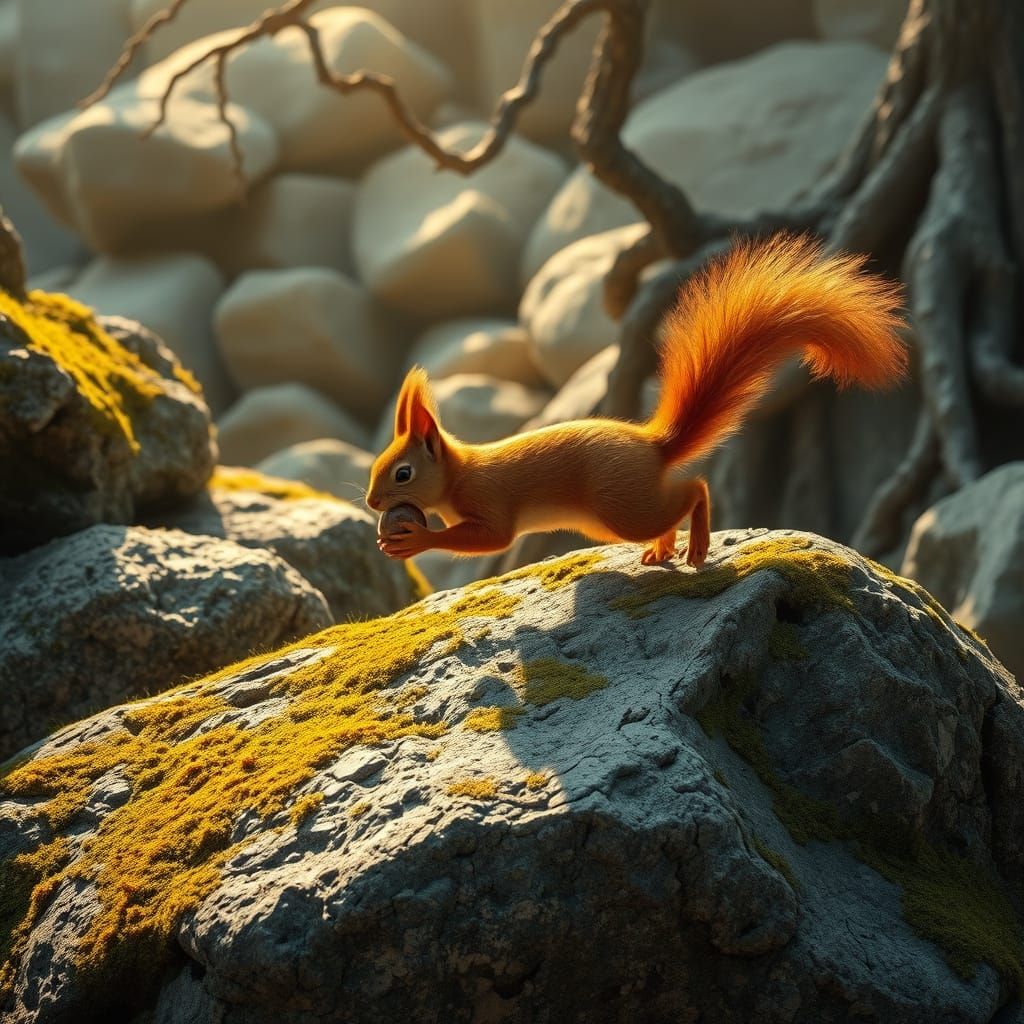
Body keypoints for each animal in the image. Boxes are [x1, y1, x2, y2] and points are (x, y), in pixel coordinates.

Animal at [367, 234, 906, 568]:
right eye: (377, 466)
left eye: (403, 473)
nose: (372, 502)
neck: (458, 475)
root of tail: (653, 446)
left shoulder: (490, 501)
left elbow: (493, 538)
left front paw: (415, 540)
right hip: (612, 515)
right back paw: (661, 549)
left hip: (619, 505)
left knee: (694, 490)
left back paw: (695, 546)